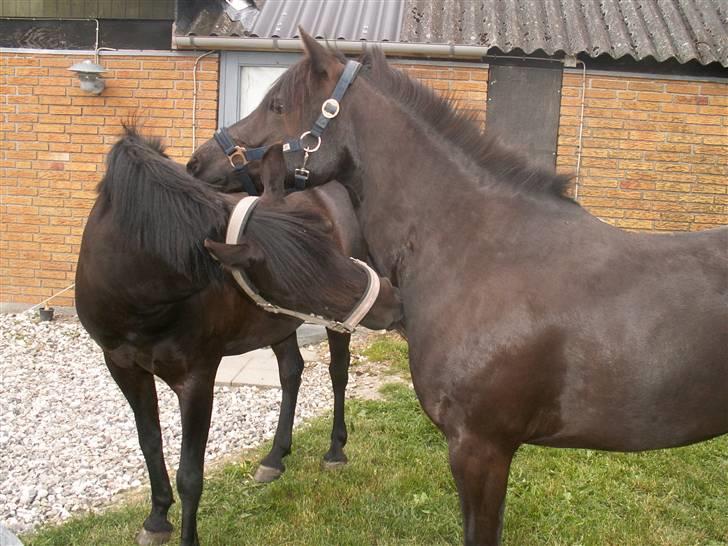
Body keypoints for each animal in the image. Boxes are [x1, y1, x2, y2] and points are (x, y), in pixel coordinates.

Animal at [77, 124, 400, 544]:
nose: (391, 300)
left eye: (333, 245)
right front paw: (157, 518)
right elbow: (149, 442)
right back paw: (275, 457)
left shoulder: (197, 378)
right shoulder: (122, 367)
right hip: (278, 325)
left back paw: (335, 450)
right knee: (291, 373)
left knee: (338, 374)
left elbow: (190, 474)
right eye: (299, 283)